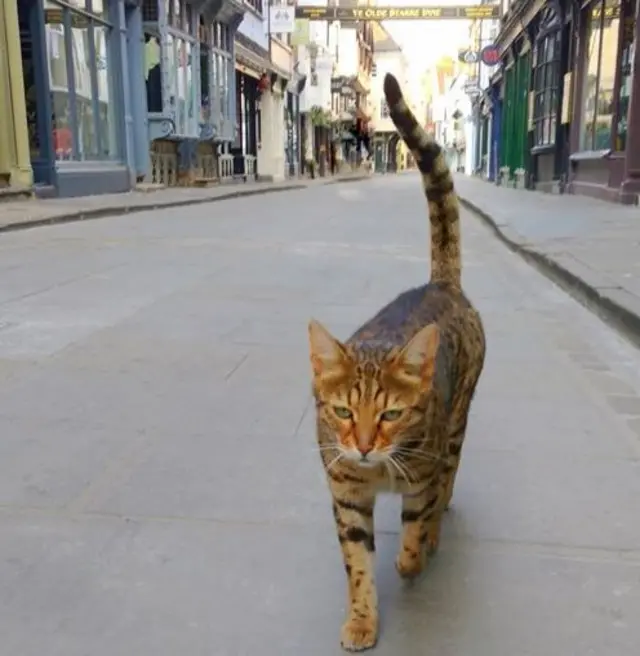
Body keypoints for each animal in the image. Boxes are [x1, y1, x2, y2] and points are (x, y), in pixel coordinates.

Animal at [308, 73, 488, 652]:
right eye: (343, 412)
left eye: (390, 414)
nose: (365, 446)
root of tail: (441, 284)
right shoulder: (346, 495)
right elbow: (357, 564)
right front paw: (363, 618)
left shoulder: (421, 473)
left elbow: (415, 523)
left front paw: (413, 557)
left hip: (458, 421)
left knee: (449, 477)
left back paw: (433, 537)